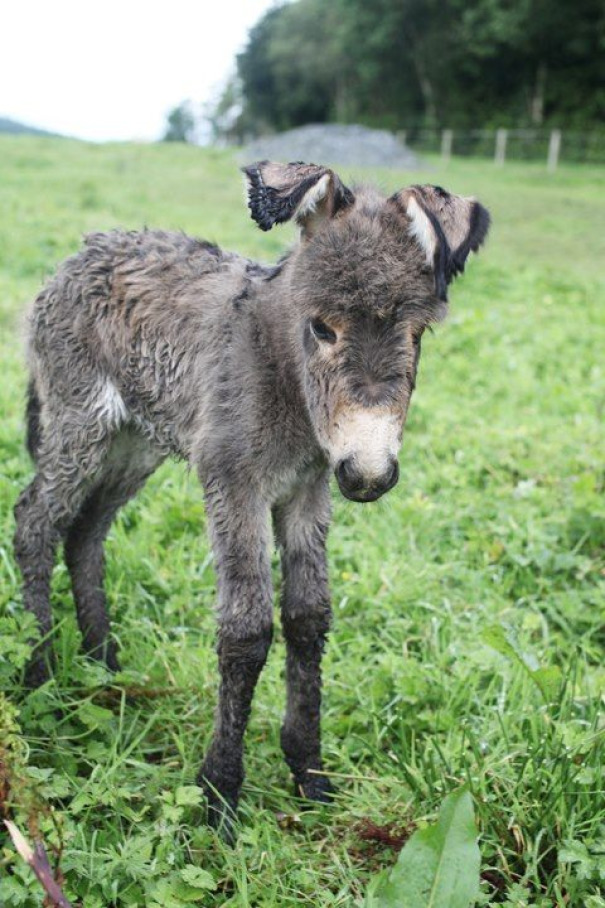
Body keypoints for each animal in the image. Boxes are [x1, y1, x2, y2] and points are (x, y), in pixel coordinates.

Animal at [14, 161, 488, 836]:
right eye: (321, 327)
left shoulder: (308, 486)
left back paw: (102, 661)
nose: (369, 476)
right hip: (82, 421)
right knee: (35, 521)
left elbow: (309, 618)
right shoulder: (234, 480)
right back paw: (40, 669)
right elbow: (246, 631)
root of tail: (82, 253)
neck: (283, 371)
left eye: (416, 333)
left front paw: (310, 773)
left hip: (138, 442)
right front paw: (219, 793)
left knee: (85, 531)